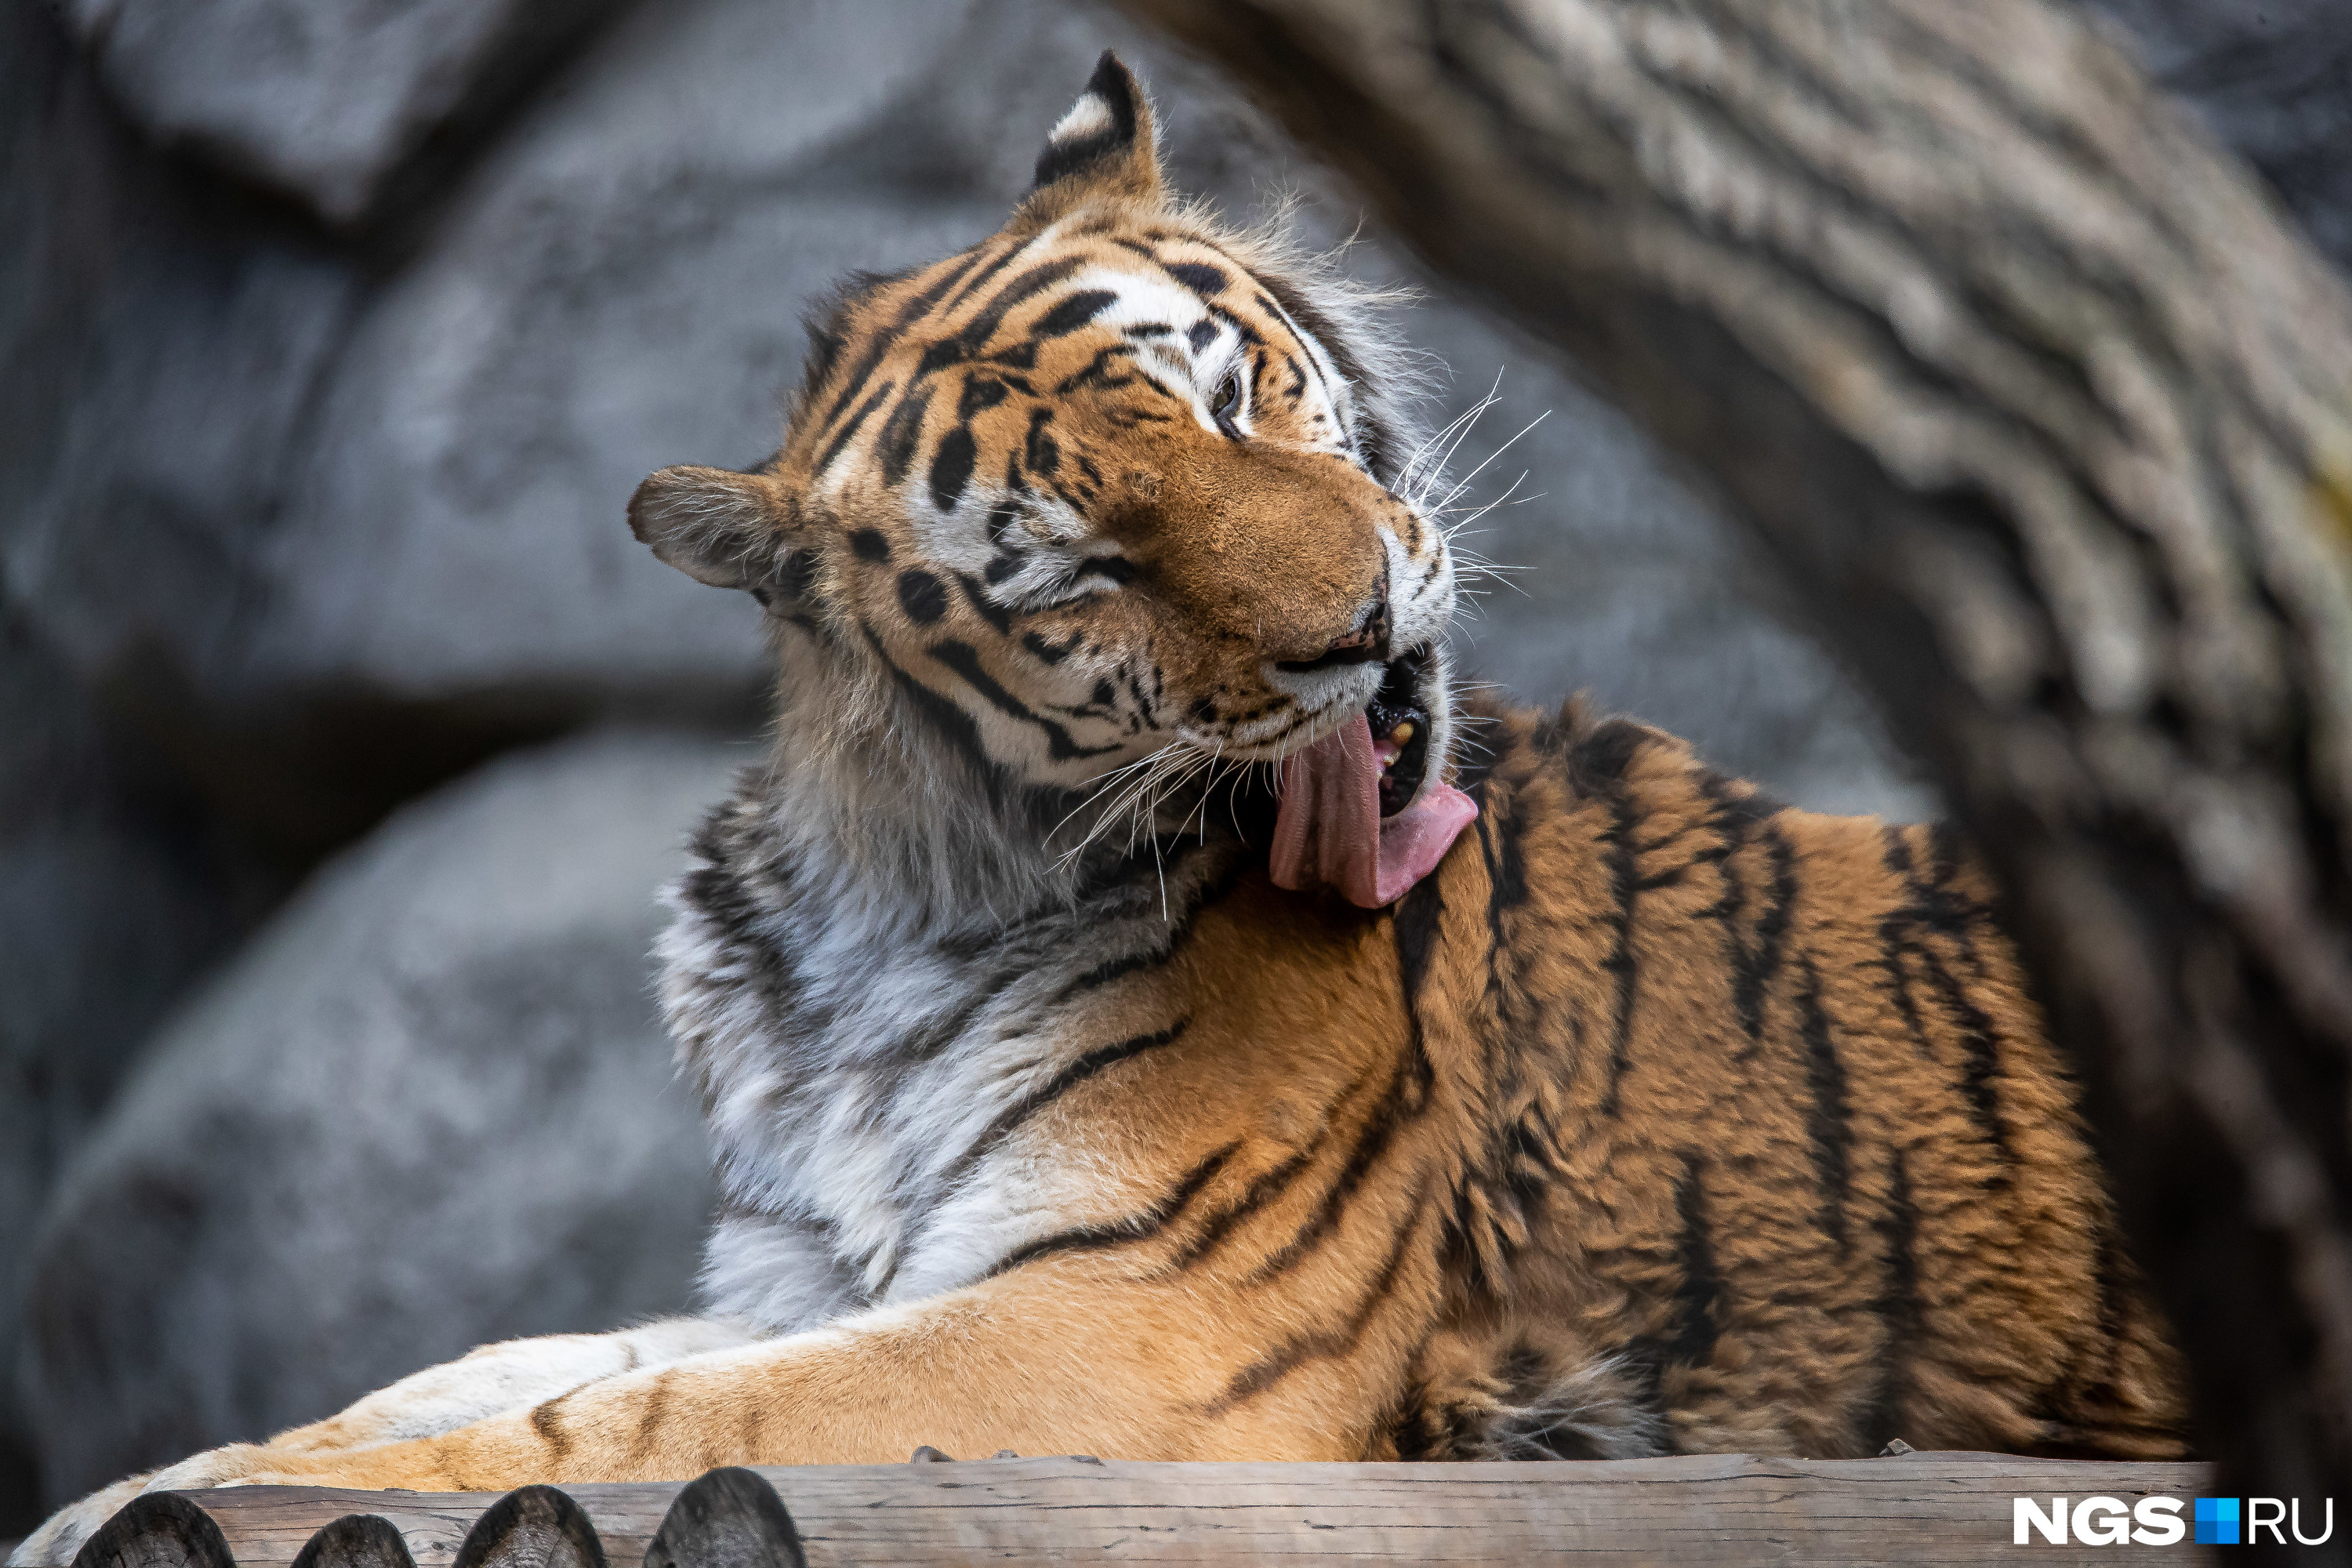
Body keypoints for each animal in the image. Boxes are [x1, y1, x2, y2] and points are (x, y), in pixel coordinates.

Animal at [13, 52, 2183, 1568]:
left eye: (1235, 398)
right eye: (1083, 573)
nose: (1361, 628)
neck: (879, 910)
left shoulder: (1139, 1311)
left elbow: (625, 1422)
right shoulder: (815, 1270)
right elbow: (506, 1366)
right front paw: (137, 1485)